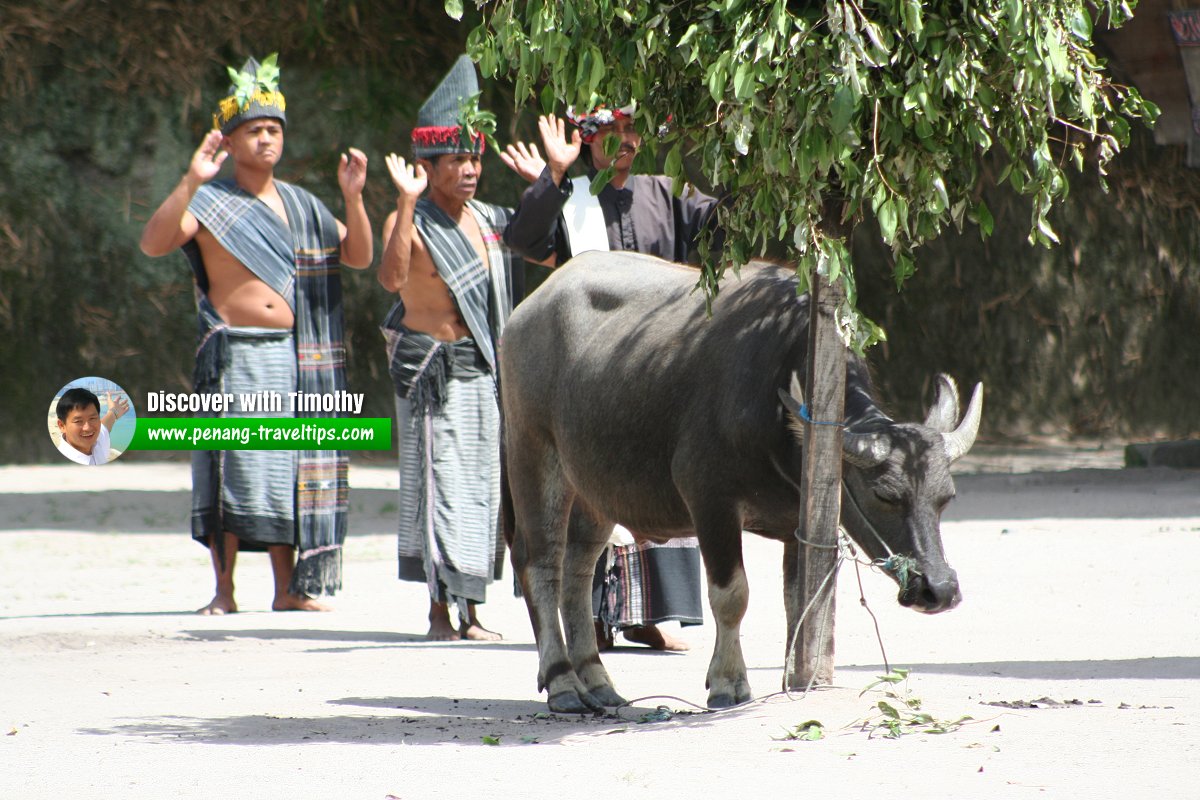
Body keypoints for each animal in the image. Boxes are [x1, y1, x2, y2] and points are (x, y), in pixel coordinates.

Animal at [501, 251, 979, 714]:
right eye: (885, 495)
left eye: (946, 499)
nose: (939, 588)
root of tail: (524, 313)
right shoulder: (709, 501)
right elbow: (732, 595)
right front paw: (728, 682)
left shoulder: (800, 522)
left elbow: (801, 599)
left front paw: (798, 676)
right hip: (532, 450)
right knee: (540, 563)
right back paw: (563, 682)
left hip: (594, 487)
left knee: (578, 569)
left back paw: (597, 682)